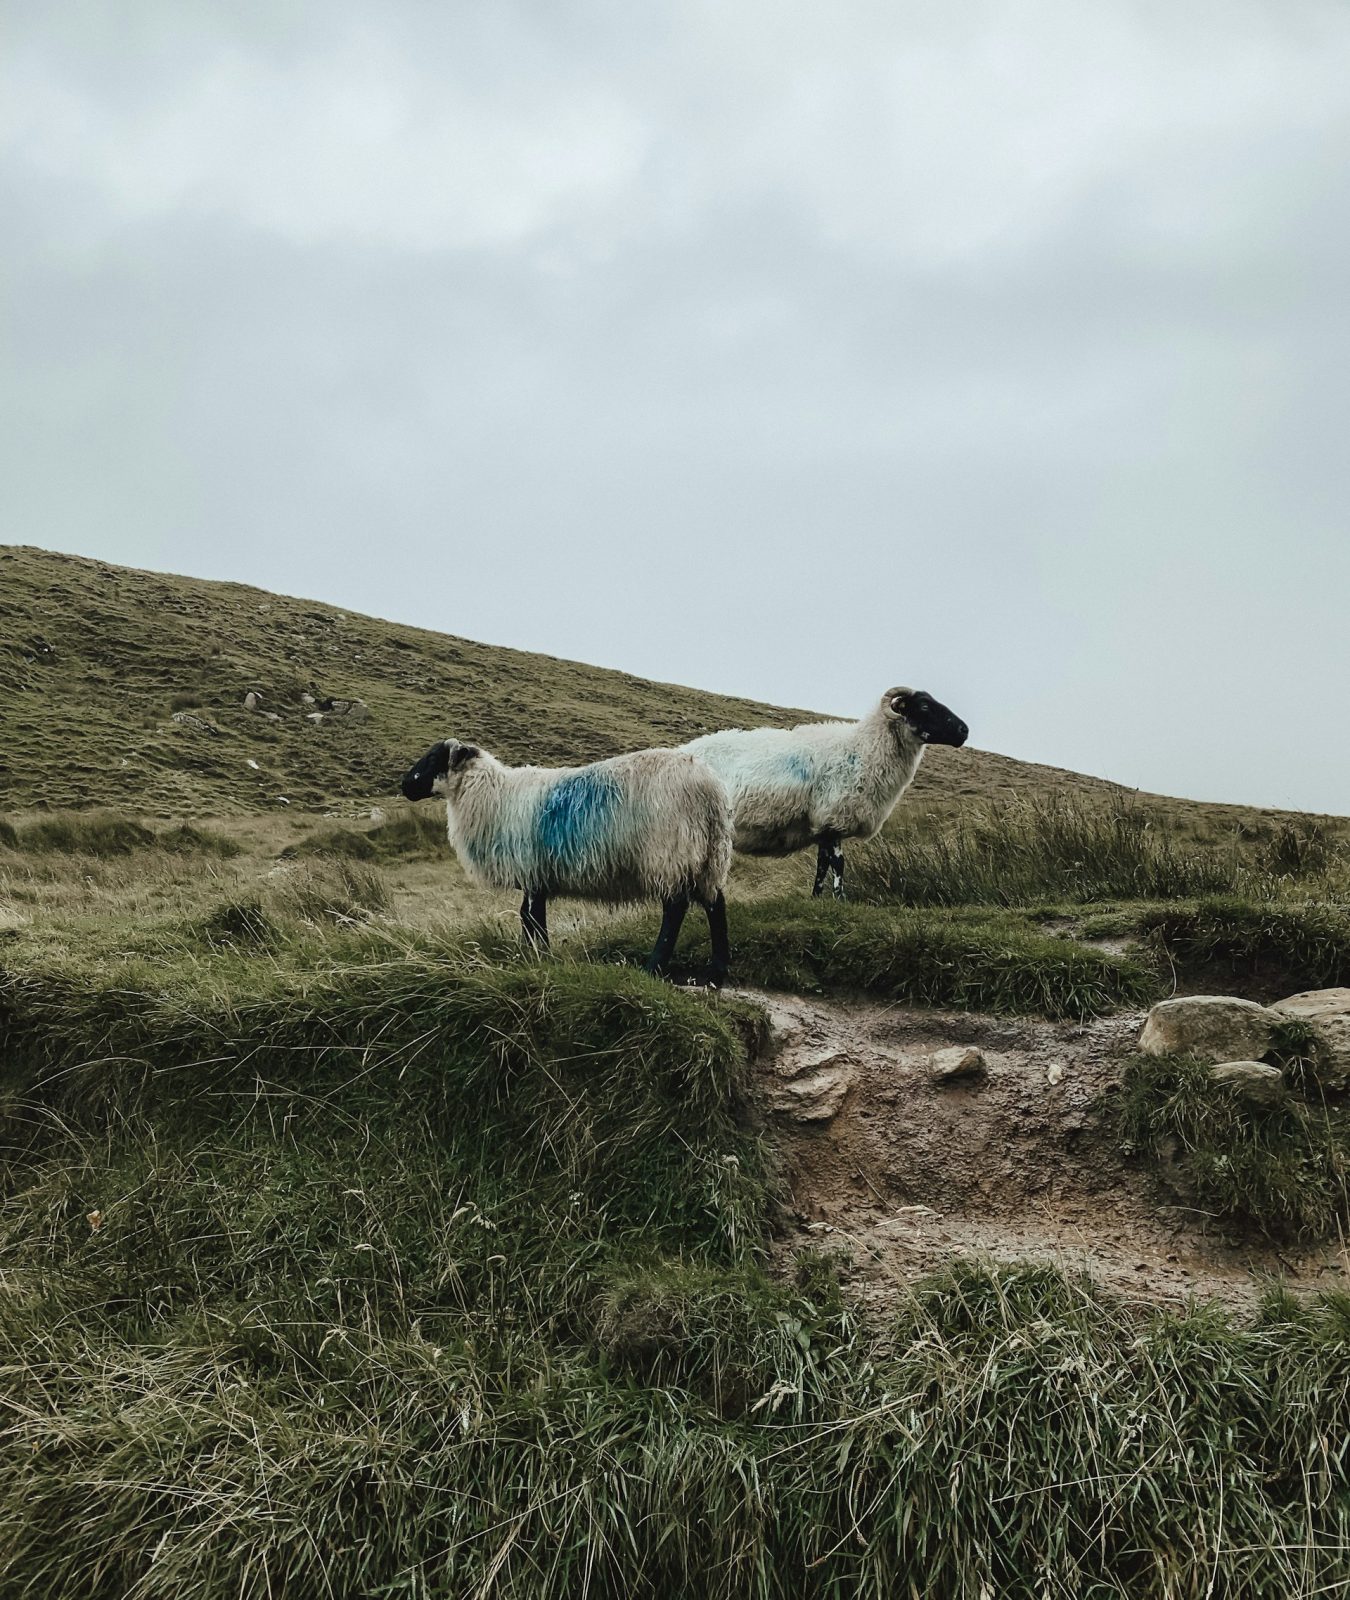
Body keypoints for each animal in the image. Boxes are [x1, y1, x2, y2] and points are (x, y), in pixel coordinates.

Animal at [399, 739, 734, 984]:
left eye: (434, 758)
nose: (404, 785)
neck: (492, 795)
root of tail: (710, 789)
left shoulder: (532, 870)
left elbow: (533, 917)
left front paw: (541, 957)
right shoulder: (536, 875)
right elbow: (526, 915)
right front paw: (528, 955)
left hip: (670, 853)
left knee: (675, 910)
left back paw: (654, 967)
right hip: (707, 857)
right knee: (716, 904)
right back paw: (717, 971)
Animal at [682, 686, 968, 899]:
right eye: (924, 707)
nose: (964, 730)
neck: (865, 749)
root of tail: (683, 750)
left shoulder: (823, 826)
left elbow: (821, 866)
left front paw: (817, 899)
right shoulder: (834, 818)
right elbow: (838, 864)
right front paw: (841, 899)